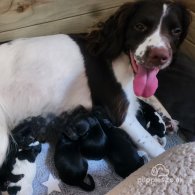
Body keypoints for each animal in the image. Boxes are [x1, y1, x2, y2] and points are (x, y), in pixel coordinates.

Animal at [0, 0, 190, 166]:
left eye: (176, 31)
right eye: (140, 26)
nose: (160, 56)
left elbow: (151, 97)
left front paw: (168, 120)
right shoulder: (122, 116)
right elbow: (157, 149)